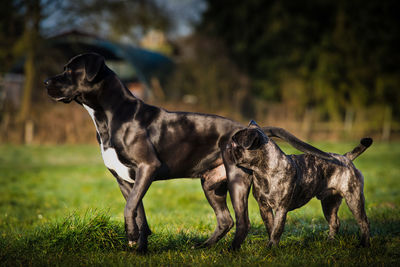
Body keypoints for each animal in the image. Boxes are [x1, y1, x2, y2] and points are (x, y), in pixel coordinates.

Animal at [43, 53, 334, 252]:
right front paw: (140, 248)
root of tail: (252, 130)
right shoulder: (125, 180)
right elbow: (138, 212)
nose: (45, 81)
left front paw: (132, 240)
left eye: (70, 70)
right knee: (225, 220)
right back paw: (204, 246)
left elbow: (129, 209)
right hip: (211, 183)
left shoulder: (147, 168)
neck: (110, 116)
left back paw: (231, 251)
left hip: (237, 179)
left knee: (242, 221)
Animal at [227, 121, 370, 247]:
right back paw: (330, 242)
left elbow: (276, 230)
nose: (227, 146)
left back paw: (363, 244)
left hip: (353, 198)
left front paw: (271, 248)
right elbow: (271, 227)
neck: (263, 171)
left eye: (234, 143)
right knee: (334, 222)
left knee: (363, 222)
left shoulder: (281, 209)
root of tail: (346, 158)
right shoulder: (264, 207)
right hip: (329, 203)